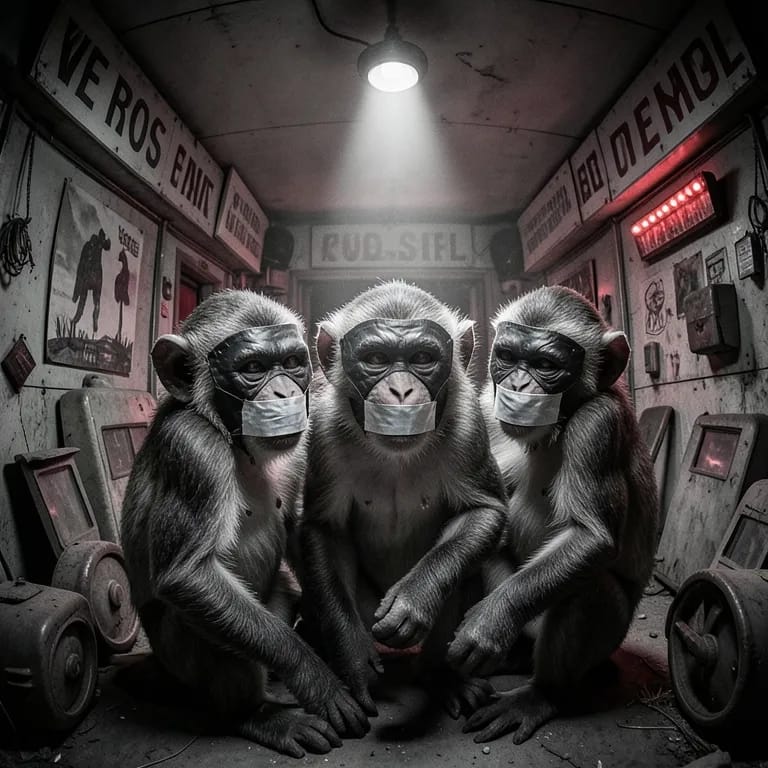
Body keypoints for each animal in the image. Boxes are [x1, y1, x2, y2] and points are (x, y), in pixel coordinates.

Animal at [119, 289, 369, 758]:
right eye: (252, 368)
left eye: (292, 362)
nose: (285, 391)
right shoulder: (193, 449)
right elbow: (190, 575)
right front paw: (316, 678)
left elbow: (301, 532)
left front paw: (347, 648)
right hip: (180, 663)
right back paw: (259, 715)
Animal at [297, 280, 508, 718]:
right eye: (376, 359)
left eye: (422, 359)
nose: (401, 388)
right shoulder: (323, 432)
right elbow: (325, 531)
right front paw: (352, 658)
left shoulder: (469, 424)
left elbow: (481, 510)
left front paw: (415, 599)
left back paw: (441, 677)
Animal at [446, 284, 658, 744]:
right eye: (508, 356)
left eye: (546, 365)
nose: (518, 383)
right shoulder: (484, 409)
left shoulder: (599, 425)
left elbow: (588, 537)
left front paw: (489, 621)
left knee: (587, 586)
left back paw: (541, 694)